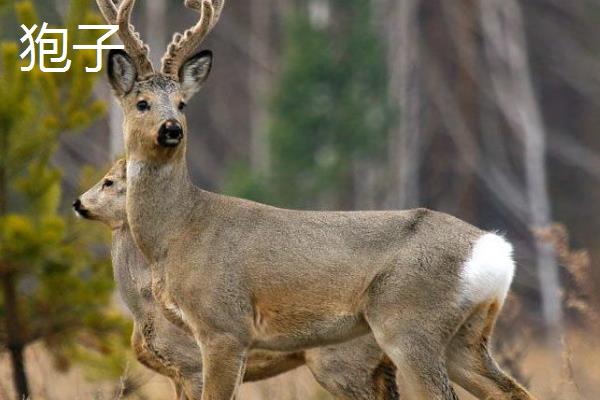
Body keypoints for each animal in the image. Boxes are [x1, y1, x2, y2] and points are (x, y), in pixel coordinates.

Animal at [76, 159, 404, 400]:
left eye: (108, 181)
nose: (77, 203)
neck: (143, 306)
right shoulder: (177, 374)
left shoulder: (193, 364)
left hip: (342, 363)